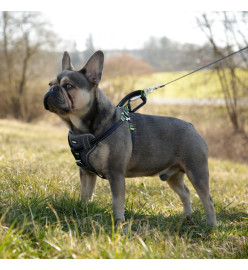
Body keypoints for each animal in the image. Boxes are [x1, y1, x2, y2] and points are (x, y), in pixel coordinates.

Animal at [43, 50, 217, 226]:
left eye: (68, 86)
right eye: (50, 84)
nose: (52, 89)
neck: (82, 129)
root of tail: (191, 126)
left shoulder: (116, 173)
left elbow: (117, 201)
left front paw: (119, 222)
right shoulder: (86, 173)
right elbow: (86, 195)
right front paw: (83, 212)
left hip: (196, 171)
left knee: (207, 199)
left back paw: (211, 226)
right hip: (173, 176)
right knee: (185, 193)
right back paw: (187, 216)